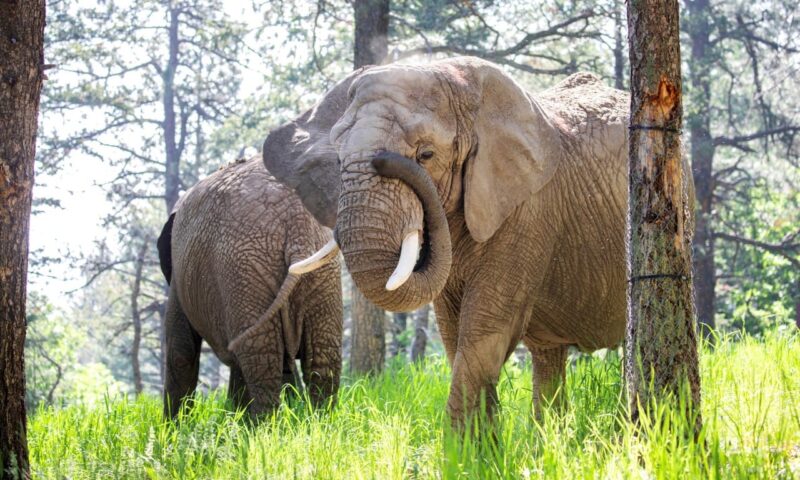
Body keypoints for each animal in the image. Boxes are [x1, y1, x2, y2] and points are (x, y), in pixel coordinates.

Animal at [158, 156, 342, 418]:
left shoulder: (178, 277)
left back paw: (263, 426)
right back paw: (318, 422)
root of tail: (296, 225)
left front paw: (174, 427)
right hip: (320, 274)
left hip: (243, 270)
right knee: (322, 358)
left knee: (261, 358)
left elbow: (181, 352)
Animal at [262, 56, 656, 428]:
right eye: (339, 158)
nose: (385, 159)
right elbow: (453, 334)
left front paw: (463, 449)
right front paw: (480, 446)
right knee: (547, 356)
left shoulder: (529, 210)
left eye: (426, 155)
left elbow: (484, 330)